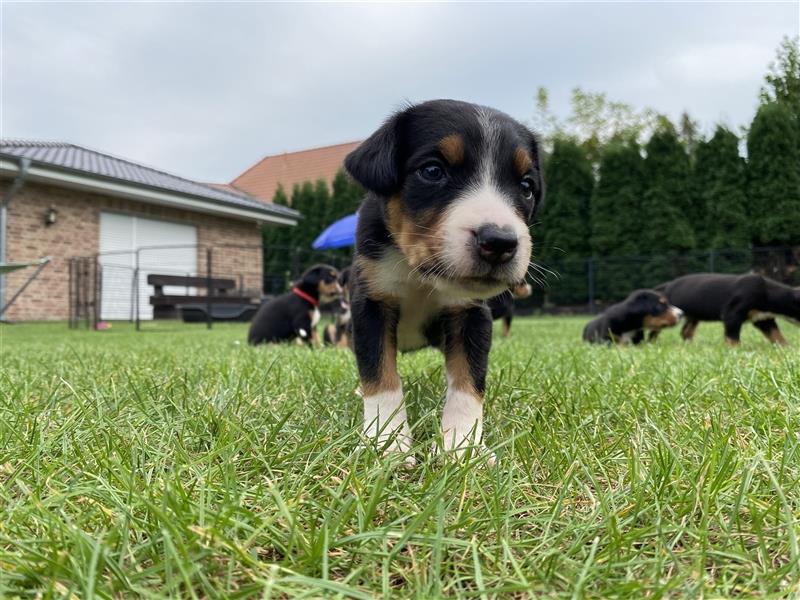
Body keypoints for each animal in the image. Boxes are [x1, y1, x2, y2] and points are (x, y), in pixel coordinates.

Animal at [344, 98, 544, 464]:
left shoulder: (470, 314)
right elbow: (380, 375)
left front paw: (461, 447)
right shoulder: (372, 303)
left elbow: (468, 383)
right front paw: (387, 442)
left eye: (526, 187)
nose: (500, 242)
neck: (419, 277)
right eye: (433, 171)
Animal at [648, 274, 800, 346]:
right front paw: (734, 350)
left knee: (686, 331)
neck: (768, 292)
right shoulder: (732, 313)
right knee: (655, 330)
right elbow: (732, 337)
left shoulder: (762, 318)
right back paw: (651, 343)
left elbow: (776, 335)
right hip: (666, 314)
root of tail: (667, 285)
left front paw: (787, 347)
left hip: (693, 316)